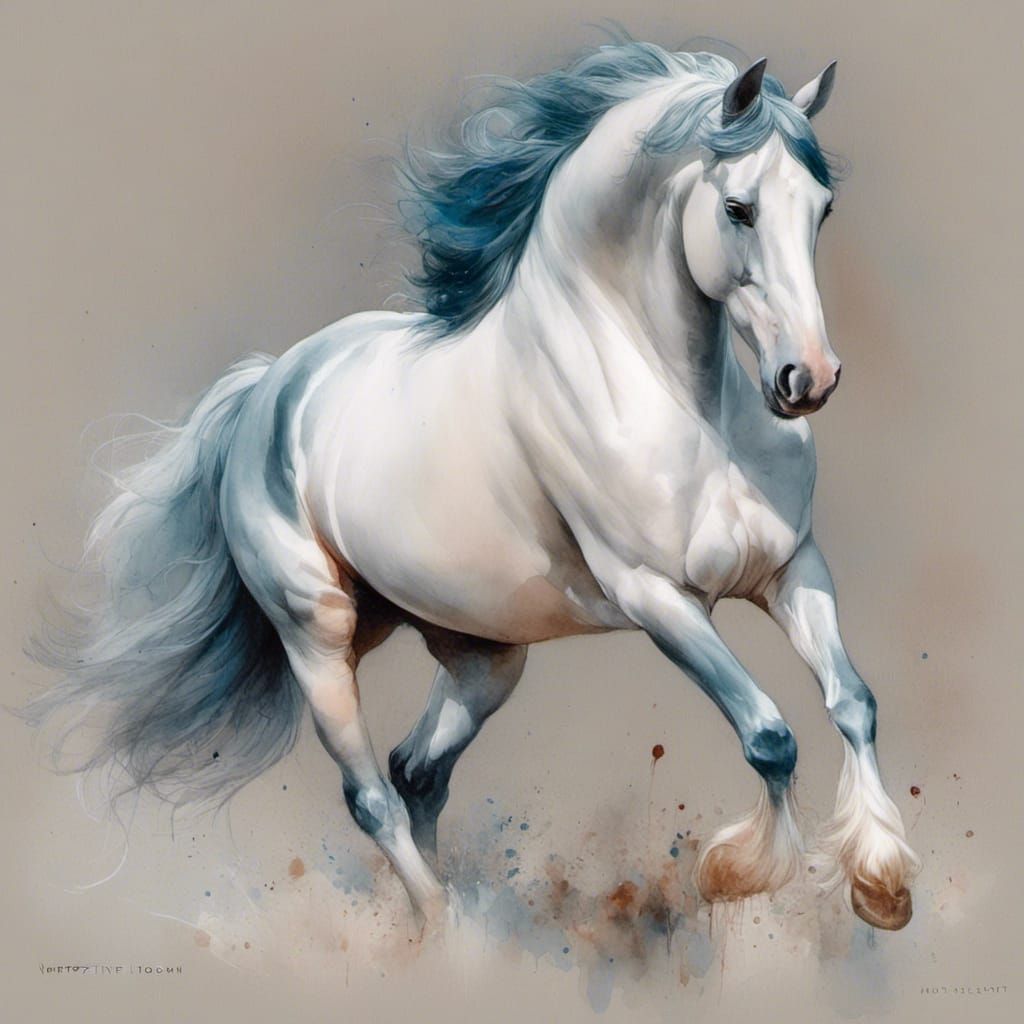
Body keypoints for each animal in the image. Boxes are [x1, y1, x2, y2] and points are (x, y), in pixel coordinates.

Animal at [26, 41, 920, 932]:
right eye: (738, 208)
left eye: (822, 210)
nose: (808, 378)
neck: (685, 405)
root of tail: (267, 391)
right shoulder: (658, 599)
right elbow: (771, 735)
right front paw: (742, 873)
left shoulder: (792, 568)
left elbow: (853, 702)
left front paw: (881, 884)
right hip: (317, 636)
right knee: (372, 795)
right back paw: (448, 932)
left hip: (480, 655)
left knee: (416, 770)